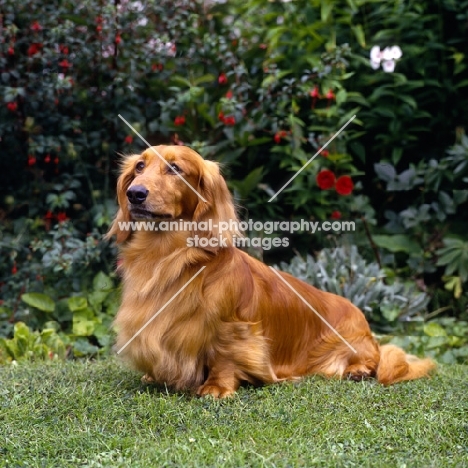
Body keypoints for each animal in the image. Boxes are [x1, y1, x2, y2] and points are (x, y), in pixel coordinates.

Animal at [108, 144, 436, 396]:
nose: (135, 193)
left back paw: (357, 370)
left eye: (175, 169)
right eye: (139, 167)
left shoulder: (233, 328)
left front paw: (216, 387)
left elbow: (223, 356)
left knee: (373, 361)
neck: (170, 257)